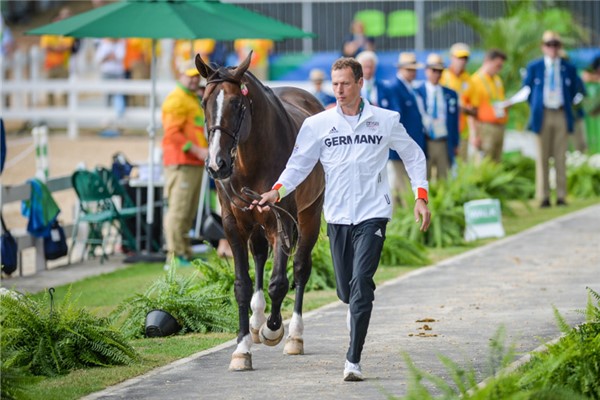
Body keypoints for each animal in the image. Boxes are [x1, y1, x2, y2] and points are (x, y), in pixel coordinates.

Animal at [196, 51, 324, 370]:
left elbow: (279, 282)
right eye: (204, 102)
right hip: (255, 223)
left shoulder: (281, 222)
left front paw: (273, 329)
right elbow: (242, 284)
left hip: (310, 215)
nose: (216, 164)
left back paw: (293, 336)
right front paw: (242, 349)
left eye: (236, 103)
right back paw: (255, 321)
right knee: (259, 256)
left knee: (300, 268)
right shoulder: (233, 226)